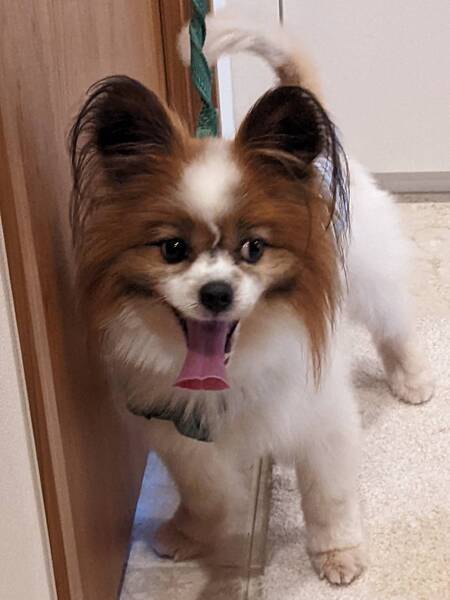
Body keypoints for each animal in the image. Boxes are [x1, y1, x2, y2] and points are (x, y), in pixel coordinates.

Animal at [69, 14, 434, 585]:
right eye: (173, 249)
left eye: (254, 248)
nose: (216, 292)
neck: (234, 366)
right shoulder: (181, 433)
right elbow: (207, 496)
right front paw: (191, 534)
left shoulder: (322, 421)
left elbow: (328, 499)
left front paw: (337, 554)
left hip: (375, 283)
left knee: (394, 328)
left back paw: (412, 380)